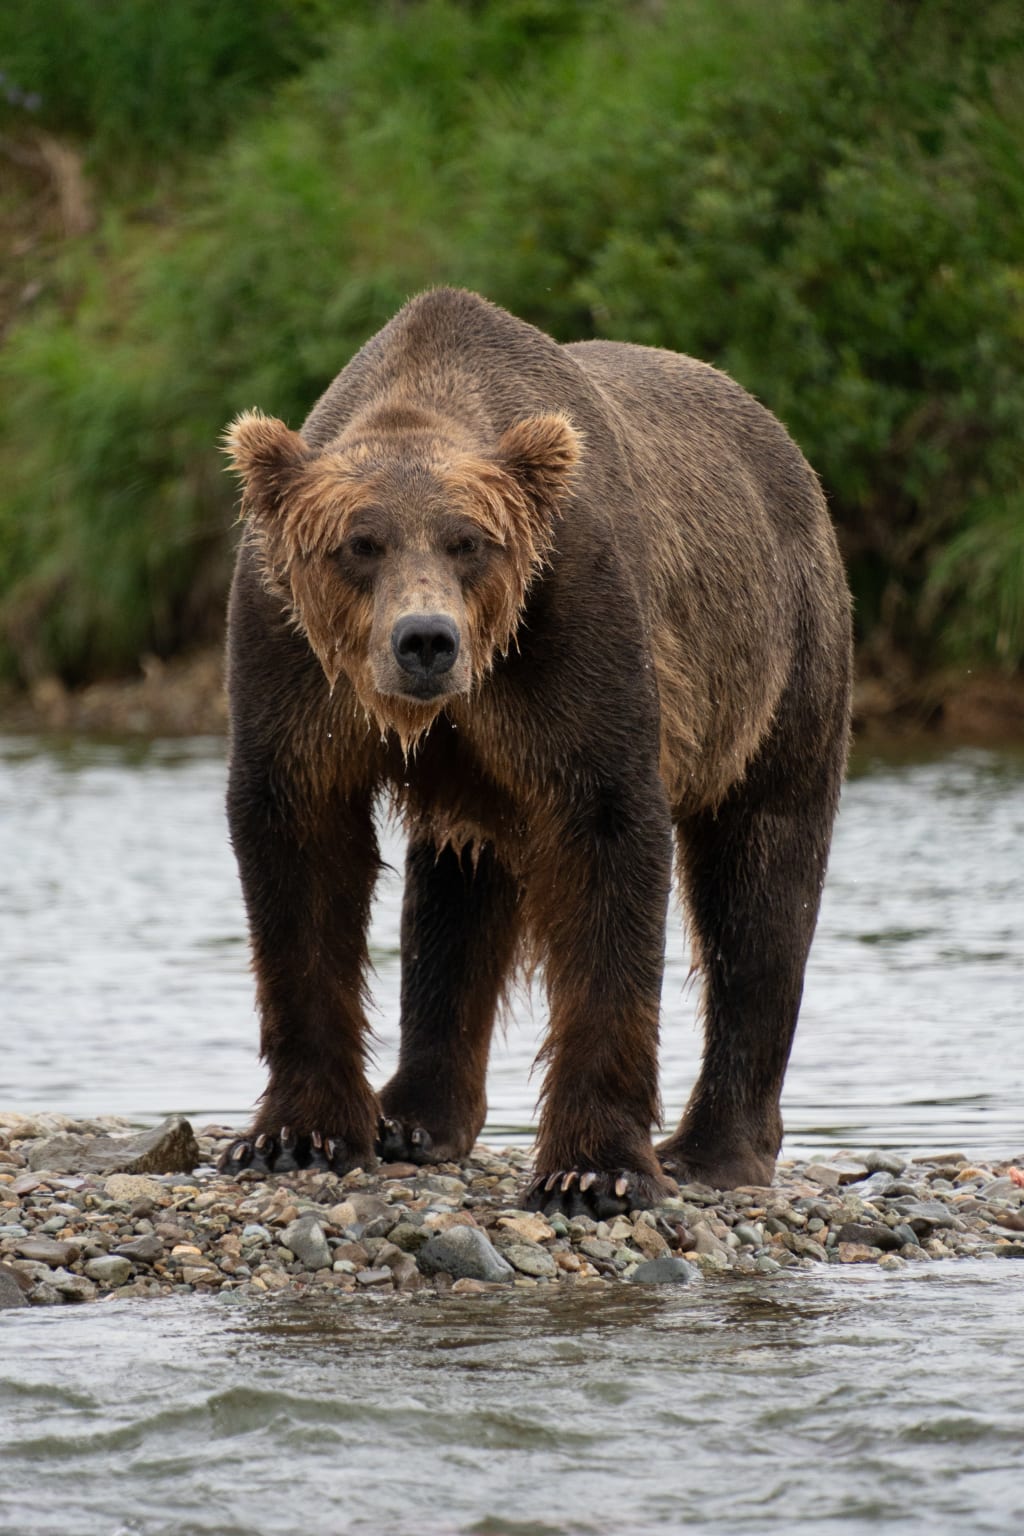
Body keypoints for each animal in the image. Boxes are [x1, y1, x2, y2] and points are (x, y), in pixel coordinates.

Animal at [220, 287, 852, 1217]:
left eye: (468, 541)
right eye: (360, 543)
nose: (425, 641)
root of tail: (786, 447)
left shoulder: (572, 628)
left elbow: (606, 844)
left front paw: (591, 1169)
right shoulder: (291, 665)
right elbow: (298, 850)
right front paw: (293, 1136)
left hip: (780, 662)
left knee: (762, 883)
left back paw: (713, 1149)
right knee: (456, 895)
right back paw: (414, 1117)